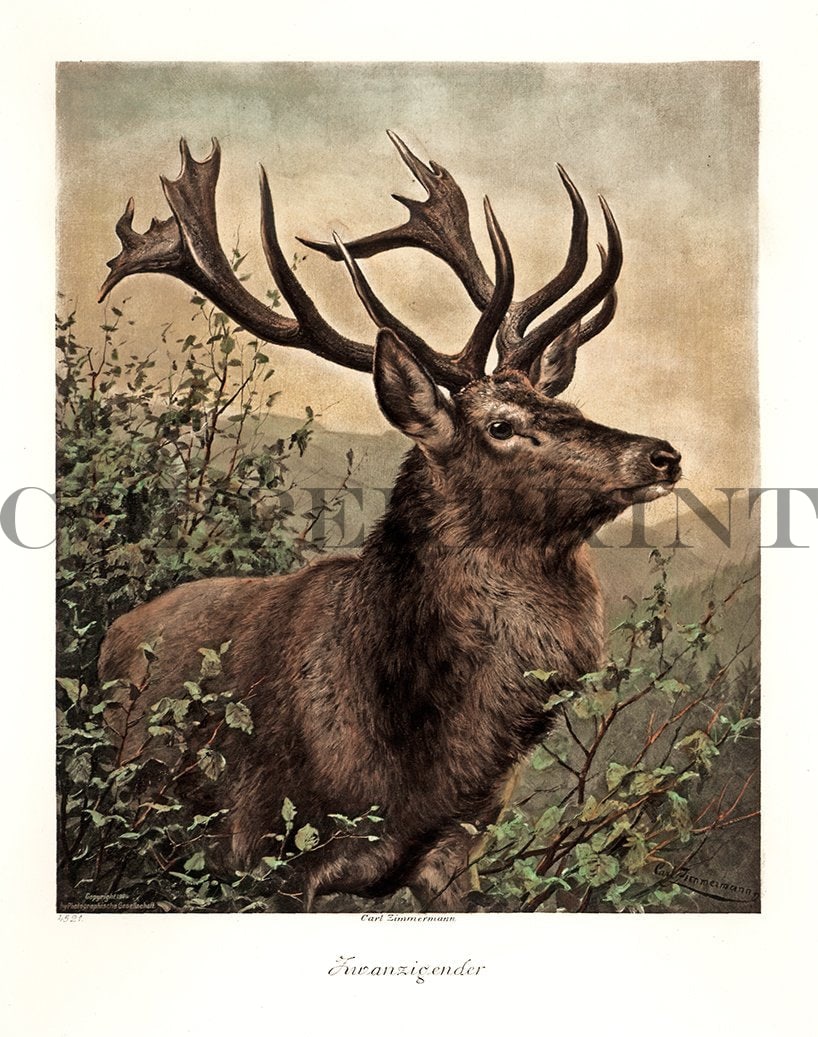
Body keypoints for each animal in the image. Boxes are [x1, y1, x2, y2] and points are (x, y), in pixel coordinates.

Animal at [96, 132, 681, 911]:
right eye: (501, 425)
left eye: (572, 408)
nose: (663, 453)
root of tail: (113, 633)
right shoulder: (266, 848)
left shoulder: (457, 851)